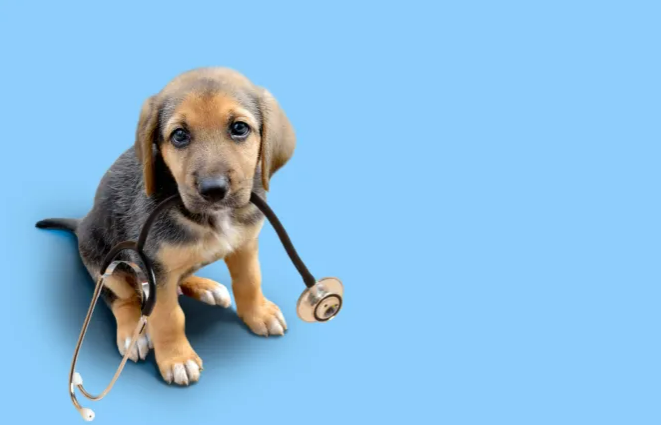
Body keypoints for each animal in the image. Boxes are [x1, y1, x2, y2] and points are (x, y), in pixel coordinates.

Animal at [36, 67, 296, 385]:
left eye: (239, 128)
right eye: (180, 135)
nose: (213, 190)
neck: (212, 218)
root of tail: (82, 223)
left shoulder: (245, 245)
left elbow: (249, 280)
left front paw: (258, 313)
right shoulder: (154, 269)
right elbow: (168, 317)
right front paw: (177, 358)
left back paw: (204, 286)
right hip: (106, 263)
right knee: (121, 299)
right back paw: (132, 333)